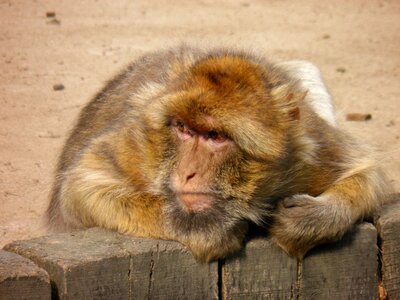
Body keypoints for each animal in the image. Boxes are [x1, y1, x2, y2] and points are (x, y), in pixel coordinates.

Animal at [46, 45, 388, 262]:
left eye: (215, 136)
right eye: (183, 128)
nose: (187, 173)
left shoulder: (310, 154)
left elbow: (370, 173)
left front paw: (312, 218)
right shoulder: (138, 149)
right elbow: (79, 189)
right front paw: (204, 228)